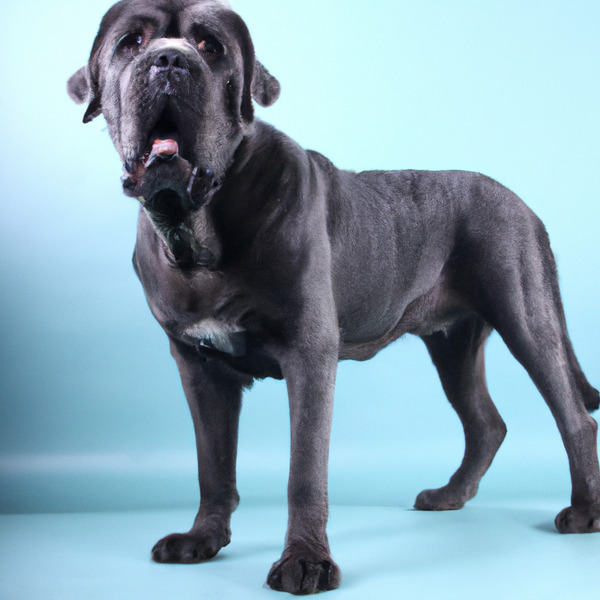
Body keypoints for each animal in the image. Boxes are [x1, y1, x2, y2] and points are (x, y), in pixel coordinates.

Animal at [65, 0, 600, 592]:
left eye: (210, 47)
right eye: (131, 43)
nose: (169, 61)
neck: (200, 231)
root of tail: (524, 204)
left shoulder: (309, 353)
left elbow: (304, 470)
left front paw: (305, 562)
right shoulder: (198, 367)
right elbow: (212, 462)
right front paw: (202, 538)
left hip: (525, 316)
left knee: (574, 416)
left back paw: (585, 511)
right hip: (453, 344)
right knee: (486, 423)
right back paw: (450, 495)